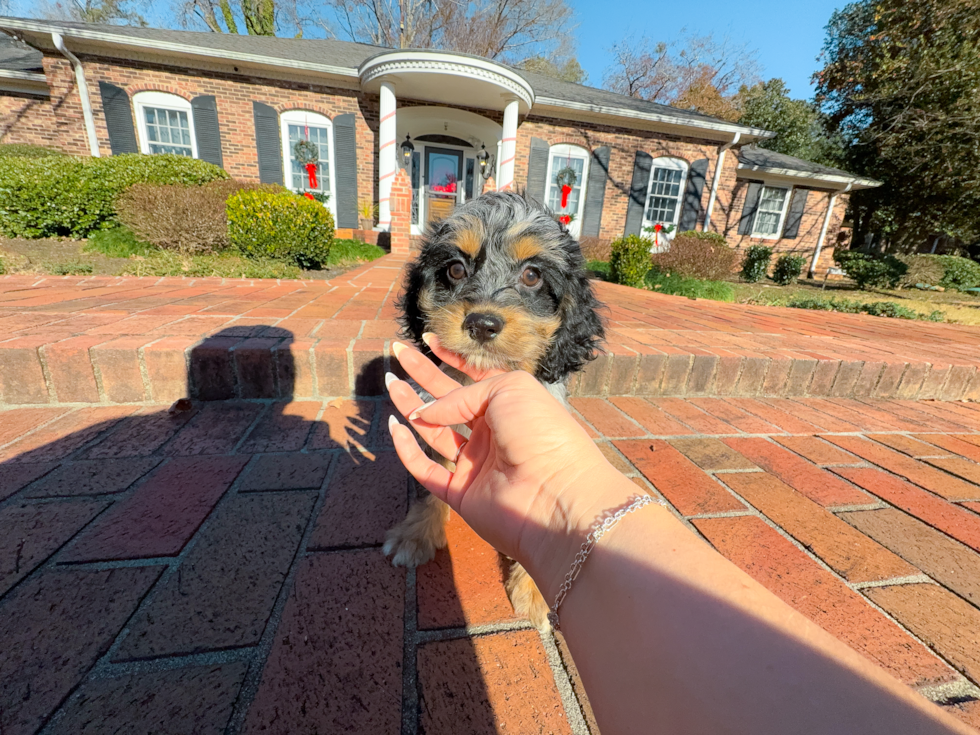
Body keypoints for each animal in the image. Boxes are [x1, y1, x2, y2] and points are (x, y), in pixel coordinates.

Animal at [382, 188, 604, 628]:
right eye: (455, 269)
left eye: (532, 276)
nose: (482, 324)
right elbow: (431, 483)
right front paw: (416, 534)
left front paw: (534, 590)